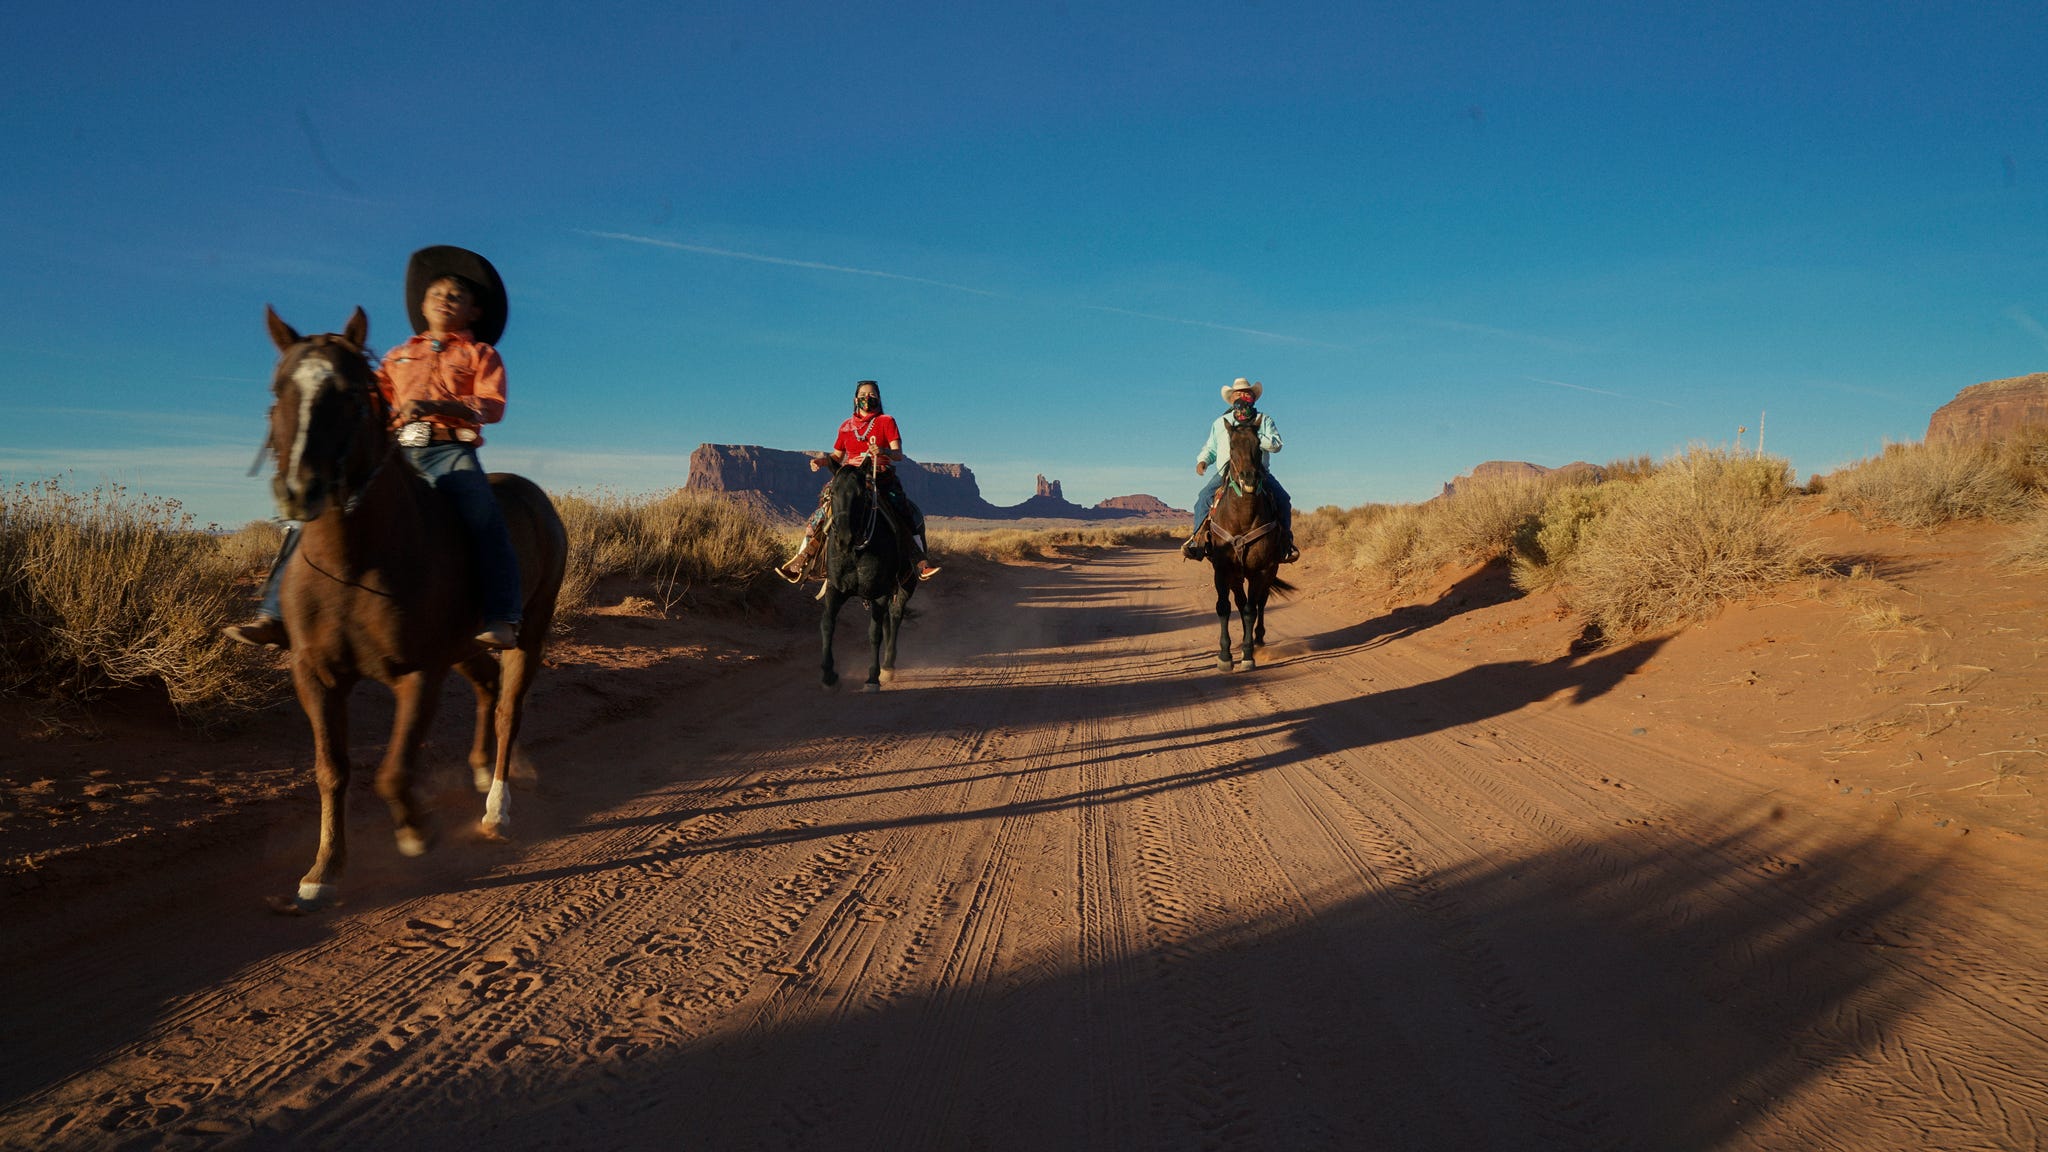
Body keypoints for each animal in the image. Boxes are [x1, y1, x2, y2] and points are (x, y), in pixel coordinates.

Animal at [264, 309, 573, 910]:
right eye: (279, 389)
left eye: (352, 395)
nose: (299, 491)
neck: (355, 561)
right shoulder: (314, 674)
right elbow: (331, 770)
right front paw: (323, 869)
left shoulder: (418, 673)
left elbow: (392, 770)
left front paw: (415, 831)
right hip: (467, 644)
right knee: (487, 687)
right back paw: (478, 770)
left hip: (529, 630)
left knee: (508, 710)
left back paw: (496, 807)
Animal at [819, 459, 917, 688]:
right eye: (832, 492)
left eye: (861, 493)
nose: (844, 538)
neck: (855, 552)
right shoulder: (835, 588)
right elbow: (827, 623)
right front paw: (828, 674)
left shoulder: (878, 591)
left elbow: (874, 633)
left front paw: (873, 677)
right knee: (888, 619)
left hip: (905, 584)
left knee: (896, 616)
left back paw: (888, 665)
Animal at [1196, 416, 1294, 668]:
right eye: (1231, 446)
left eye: (1258, 445)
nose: (1249, 477)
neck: (1241, 517)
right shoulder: (1222, 568)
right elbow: (1224, 607)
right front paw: (1225, 655)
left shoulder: (1260, 569)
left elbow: (1252, 609)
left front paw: (1248, 654)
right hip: (1237, 575)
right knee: (1240, 602)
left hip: (1269, 570)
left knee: (1260, 603)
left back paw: (1257, 639)